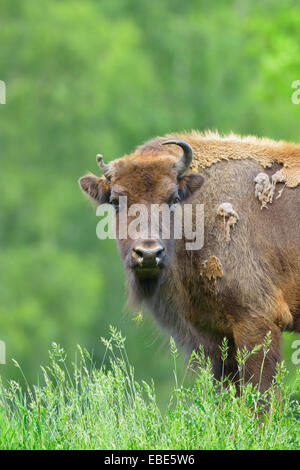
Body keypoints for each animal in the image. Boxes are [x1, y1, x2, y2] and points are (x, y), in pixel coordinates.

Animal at [79, 130, 300, 392]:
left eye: (173, 198)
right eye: (115, 201)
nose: (148, 253)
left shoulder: (256, 320)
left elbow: (261, 393)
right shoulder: (214, 335)